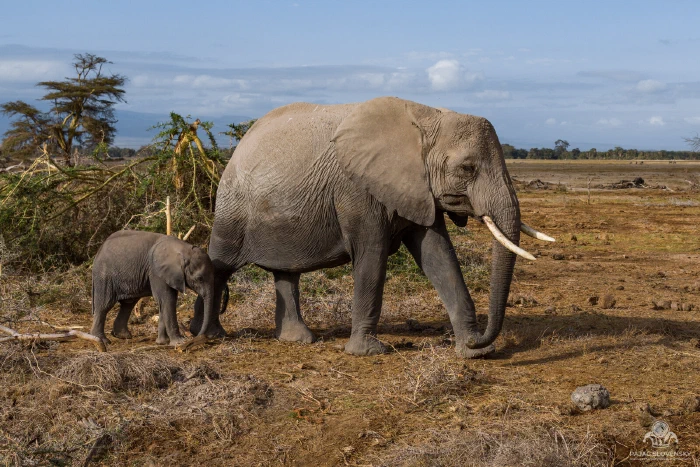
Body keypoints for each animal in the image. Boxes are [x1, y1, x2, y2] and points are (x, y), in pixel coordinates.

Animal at [90, 230, 228, 346]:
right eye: (199, 278)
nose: (197, 337)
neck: (183, 249)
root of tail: (99, 250)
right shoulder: (156, 272)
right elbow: (167, 300)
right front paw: (179, 343)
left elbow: (165, 301)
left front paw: (163, 342)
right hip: (104, 276)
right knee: (104, 305)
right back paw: (102, 340)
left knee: (128, 304)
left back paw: (123, 336)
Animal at [191, 96, 553, 357]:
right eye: (467, 168)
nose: (483, 339)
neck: (427, 118)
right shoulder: (357, 190)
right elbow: (372, 256)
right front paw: (368, 352)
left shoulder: (417, 189)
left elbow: (438, 255)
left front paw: (474, 352)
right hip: (231, 209)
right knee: (220, 266)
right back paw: (206, 335)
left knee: (286, 272)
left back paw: (296, 340)